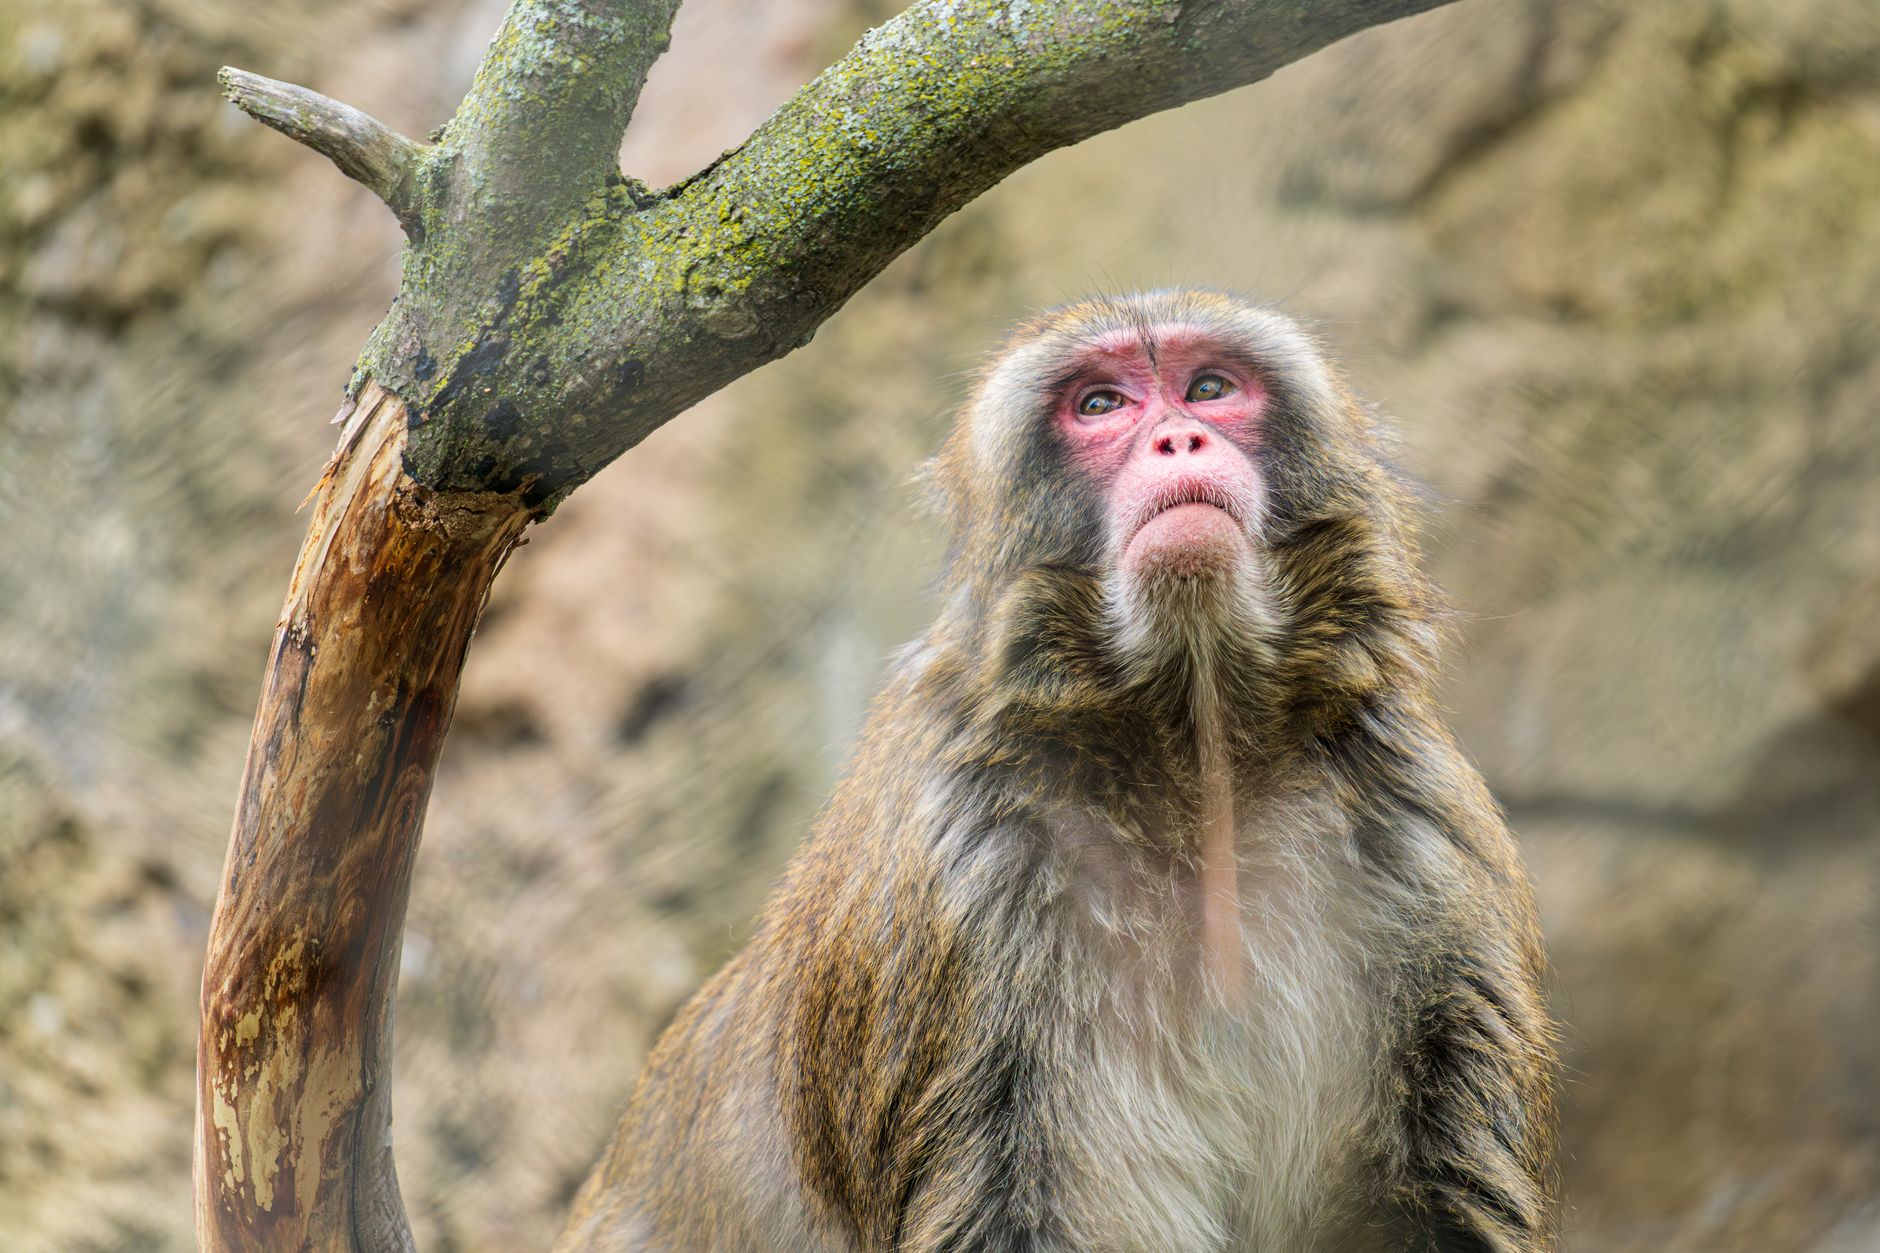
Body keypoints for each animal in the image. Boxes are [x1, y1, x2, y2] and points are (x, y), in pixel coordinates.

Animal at [556, 290, 1557, 1252]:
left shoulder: (1420, 831)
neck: (1196, 744)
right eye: (1101, 405)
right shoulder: (968, 871)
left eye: (1209, 389)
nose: (1178, 439)